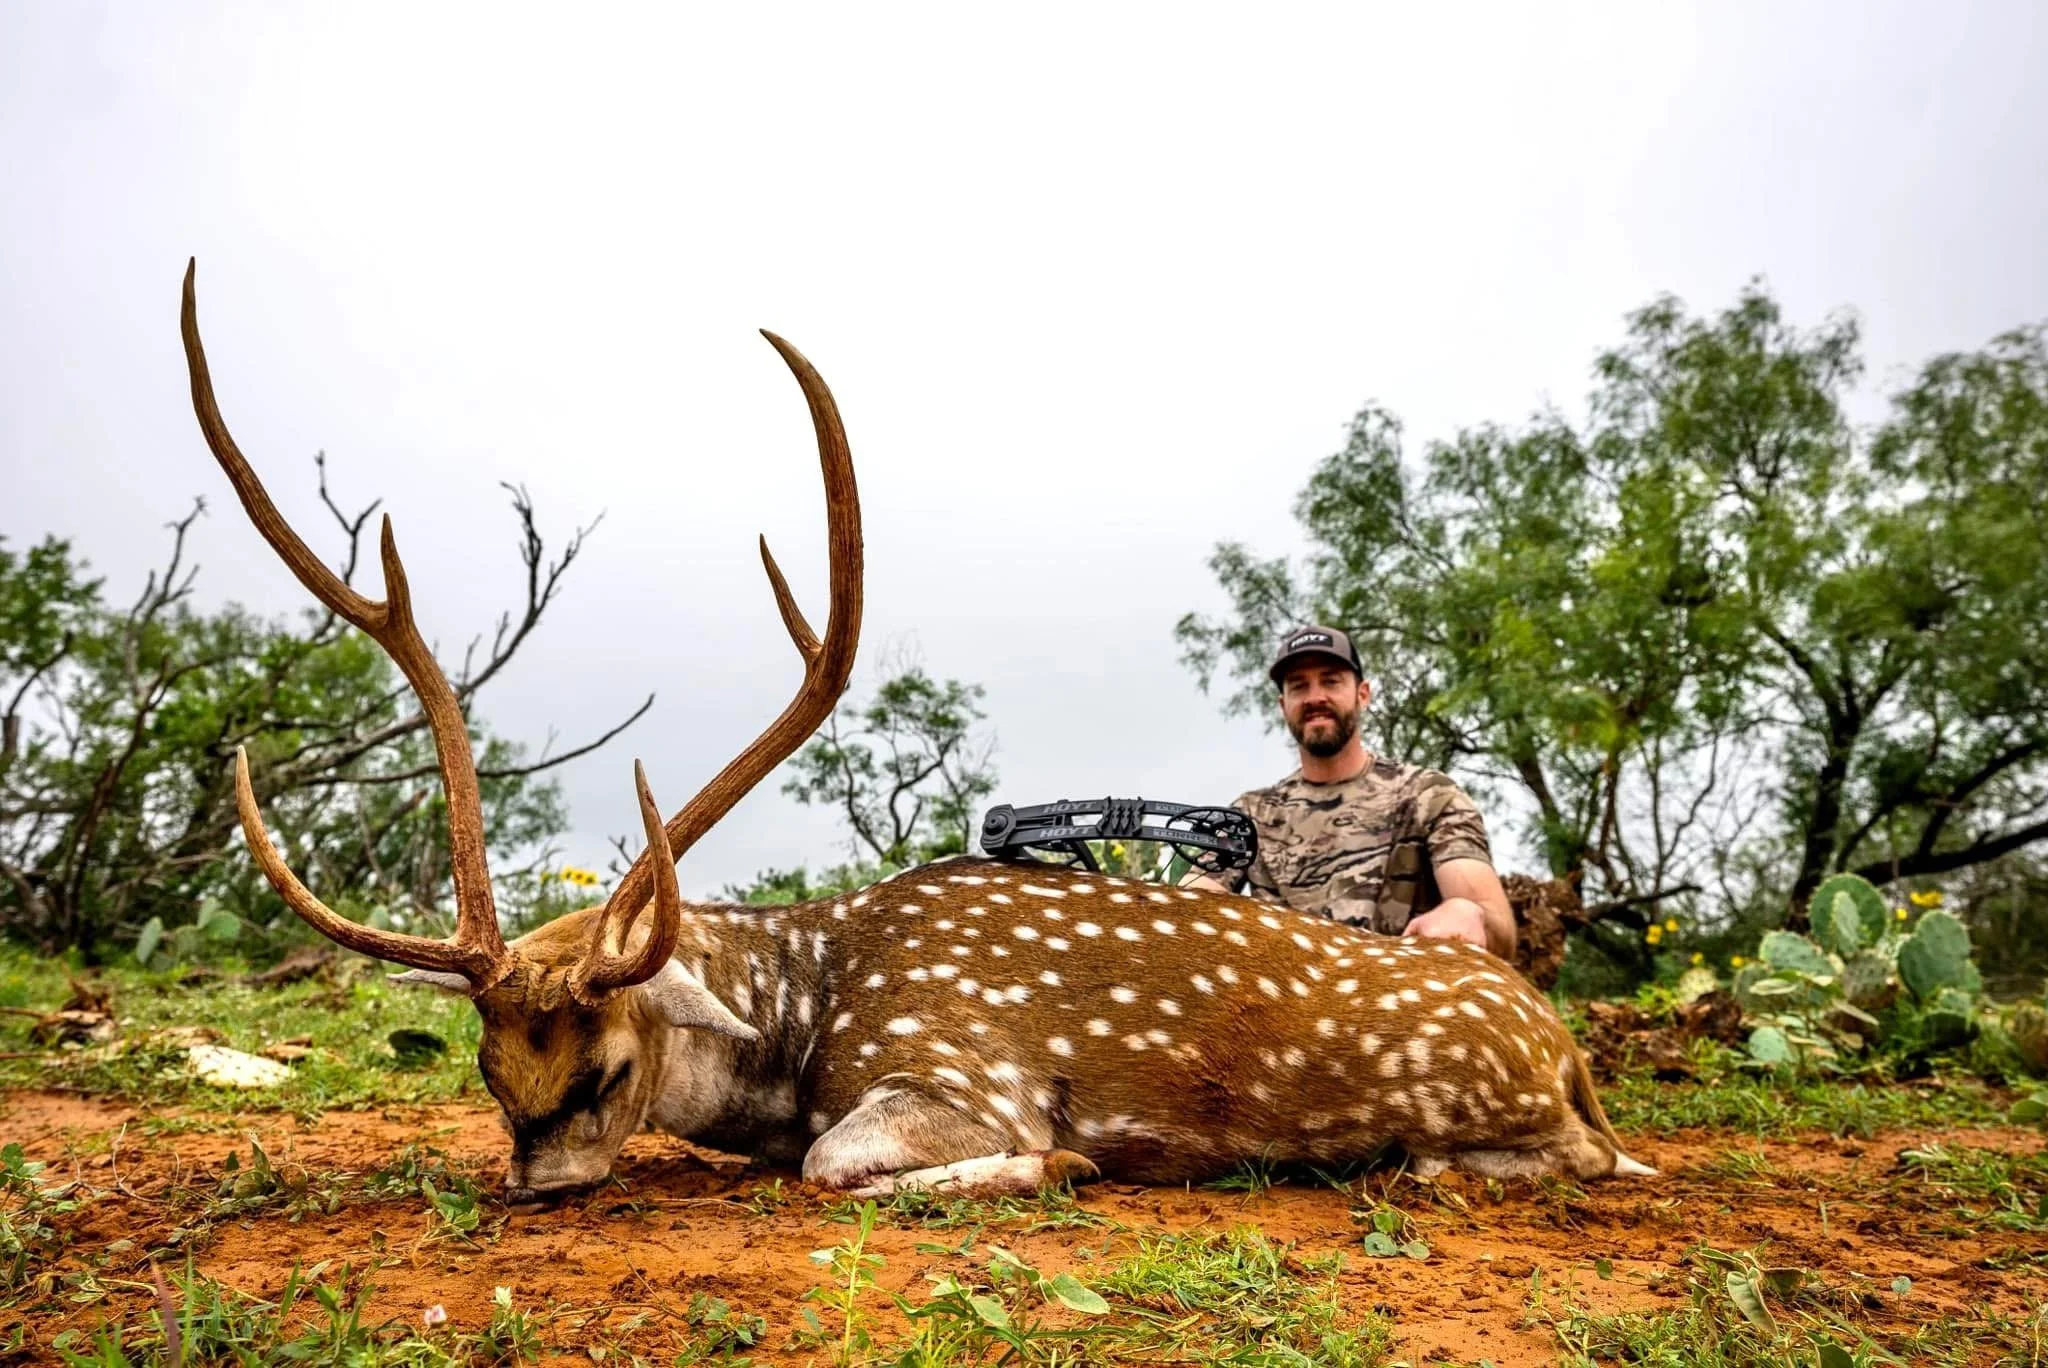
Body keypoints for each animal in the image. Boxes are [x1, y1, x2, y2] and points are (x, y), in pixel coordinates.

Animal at [181, 260, 1654, 1208]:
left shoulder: (965, 1068)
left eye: (603, 1071)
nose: (536, 1188)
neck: (807, 1019)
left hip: (1490, 1093)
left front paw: (1072, 1160)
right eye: (491, 1075)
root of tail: (1571, 1045)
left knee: (1588, 1160)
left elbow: (843, 1165)